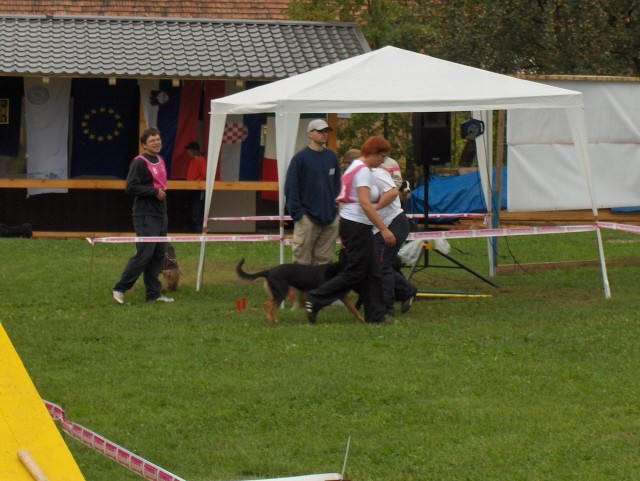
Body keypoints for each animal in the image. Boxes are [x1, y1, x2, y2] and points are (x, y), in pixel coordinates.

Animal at [235, 256, 364, 324]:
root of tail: (269, 271)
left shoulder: (342, 296)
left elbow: (354, 309)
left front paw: (362, 320)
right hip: (282, 292)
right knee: (272, 306)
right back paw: (275, 320)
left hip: (279, 293)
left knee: (267, 303)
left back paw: (270, 319)